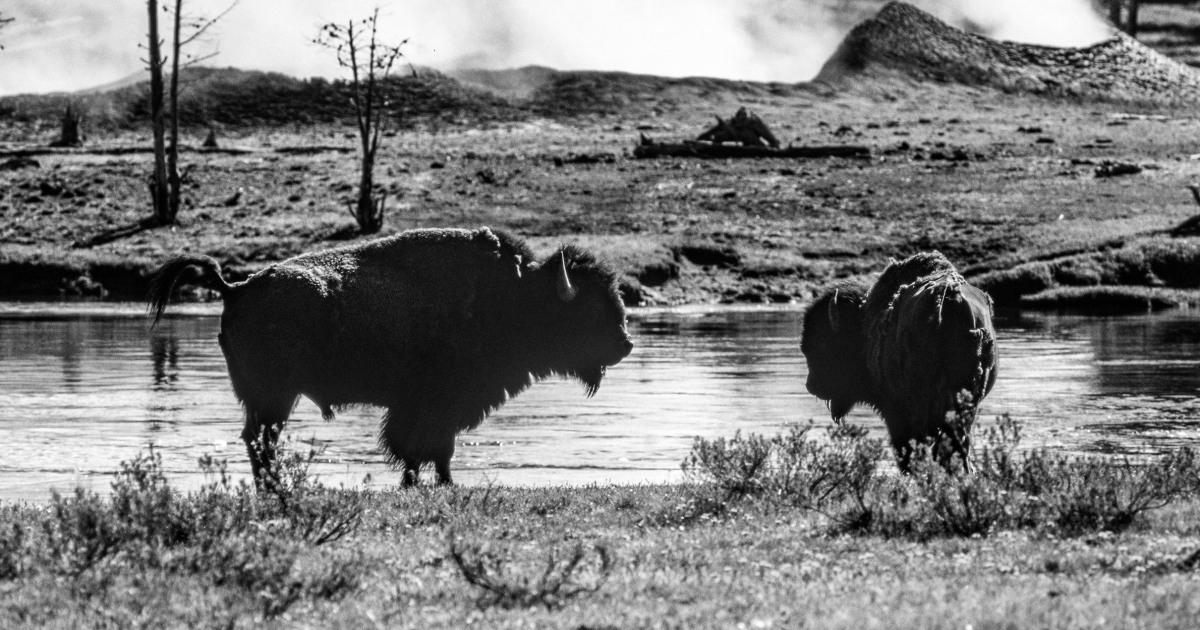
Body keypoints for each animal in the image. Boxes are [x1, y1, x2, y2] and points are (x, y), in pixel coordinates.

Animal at [147, 226, 638, 487]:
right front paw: (433, 483)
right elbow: (424, 445)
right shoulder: (433, 402)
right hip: (274, 397)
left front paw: (430, 483)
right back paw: (274, 489)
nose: (626, 344)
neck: (515, 295)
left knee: (258, 440)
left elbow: (430, 448)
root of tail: (236, 288)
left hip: (267, 399)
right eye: (590, 308)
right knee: (261, 440)